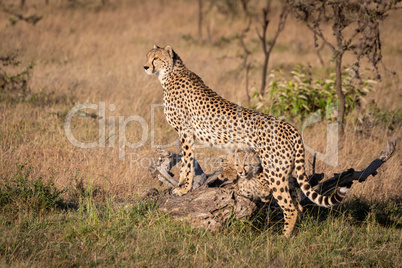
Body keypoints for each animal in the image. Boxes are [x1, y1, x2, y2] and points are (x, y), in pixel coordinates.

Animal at [143, 45, 350, 237]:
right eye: (147, 56)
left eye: (156, 58)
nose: (145, 66)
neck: (170, 73)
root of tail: (291, 127)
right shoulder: (187, 134)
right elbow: (187, 162)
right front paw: (182, 187)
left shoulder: (185, 132)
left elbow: (187, 162)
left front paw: (183, 189)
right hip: (286, 172)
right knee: (297, 204)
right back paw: (295, 234)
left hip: (274, 172)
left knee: (289, 207)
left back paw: (283, 238)